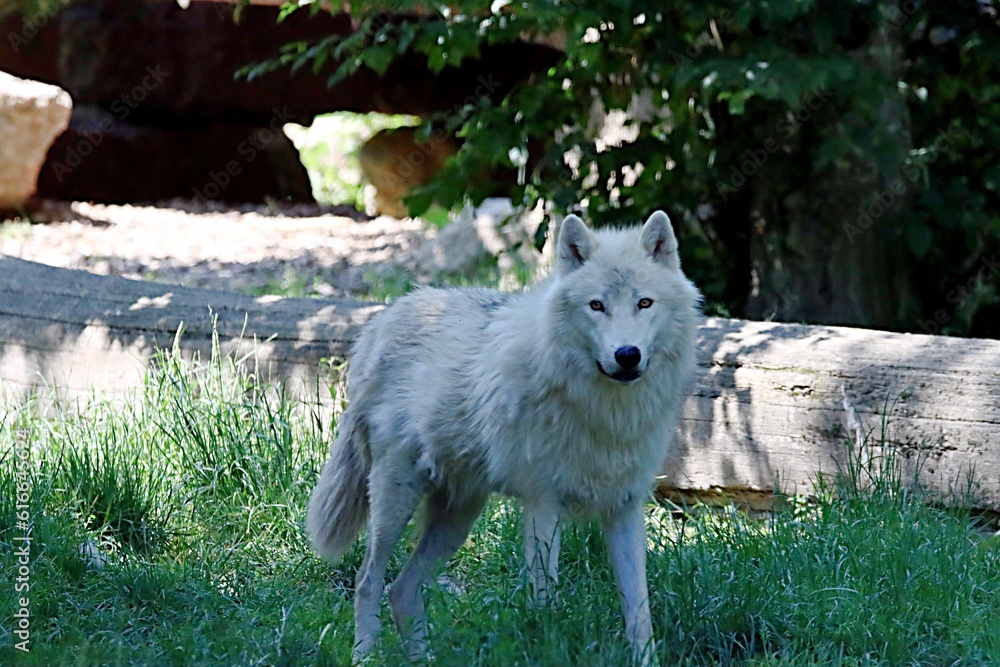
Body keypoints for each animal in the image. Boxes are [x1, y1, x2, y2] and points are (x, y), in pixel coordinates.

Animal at [306, 211, 701, 665]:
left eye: (644, 303)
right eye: (597, 305)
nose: (627, 355)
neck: (606, 411)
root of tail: (381, 321)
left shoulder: (625, 507)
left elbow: (639, 609)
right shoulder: (544, 505)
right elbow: (546, 601)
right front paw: (548, 645)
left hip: (457, 517)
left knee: (402, 588)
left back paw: (422, 658)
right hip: (396, 500)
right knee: (367, 580)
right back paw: (365, 655)